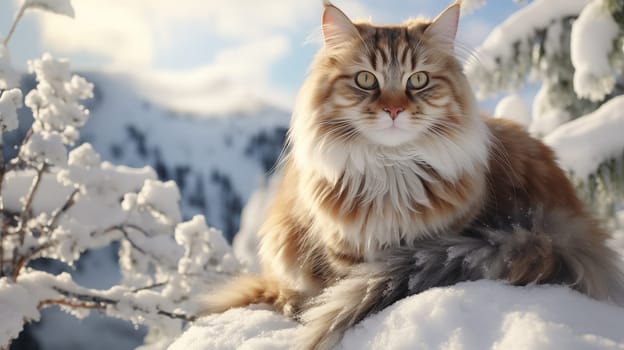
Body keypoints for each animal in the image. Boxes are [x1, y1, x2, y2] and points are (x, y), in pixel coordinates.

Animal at [204, 1, 624, 348]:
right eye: (366, 80)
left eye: (418, 80)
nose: (394, 110)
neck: (392, 170)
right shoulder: (343, 253)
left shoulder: (438, 238)